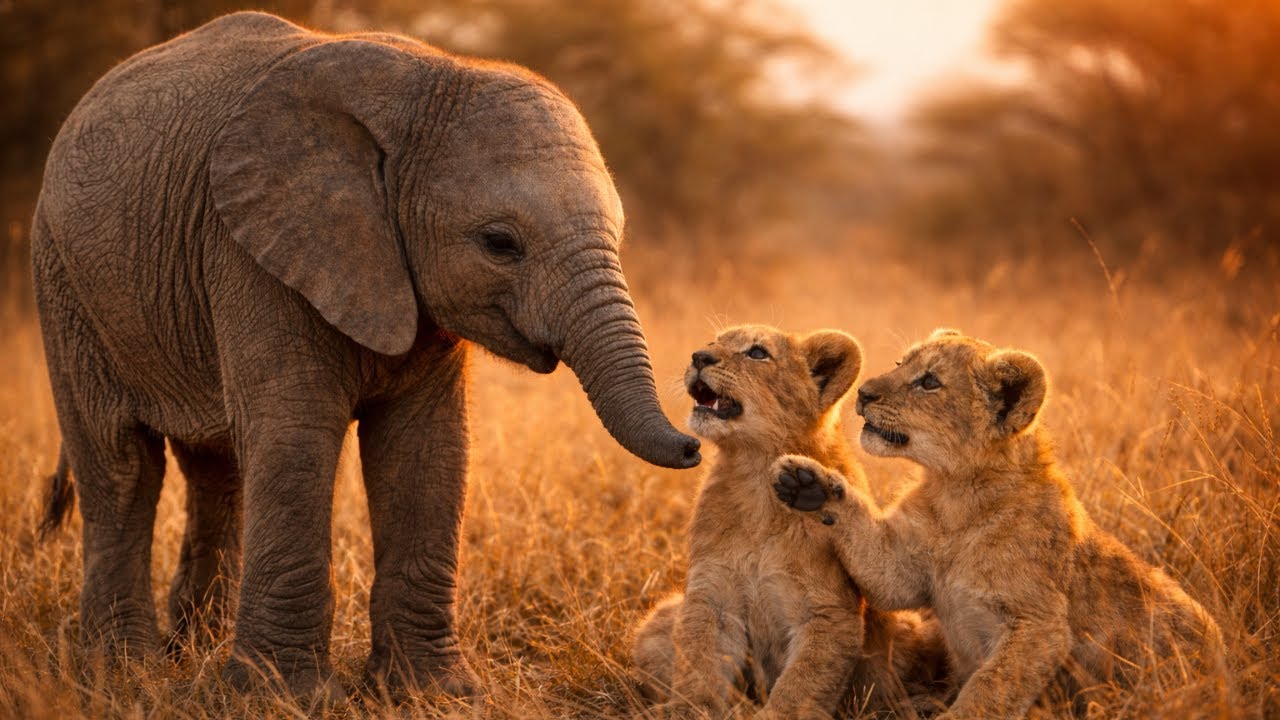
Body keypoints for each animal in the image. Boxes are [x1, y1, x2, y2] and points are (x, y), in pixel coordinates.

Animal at [31, 11, 700, 698]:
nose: (694, 442)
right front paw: (286, 696)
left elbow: (424, 446)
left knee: (218, 472)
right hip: (64, 282)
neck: (430, 80)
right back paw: (125, 670)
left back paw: (192, 652)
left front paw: (431, 693)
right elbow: (297, 435)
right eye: (500, 243)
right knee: (122, 466)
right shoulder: (251, 253)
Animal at [632, 324, 948, 720]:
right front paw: (690, 710)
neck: (755, 482)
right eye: (714, 342)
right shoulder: (712, 596)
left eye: (757, 353)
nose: (699, 357)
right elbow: (699, 662)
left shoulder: (828, 612)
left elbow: (802, 683)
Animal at [771, 329, 1229, 719]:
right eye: (901, 363)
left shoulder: (1039, 624)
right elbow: (878, 565)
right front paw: (806, 482)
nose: (864, 393)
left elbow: (991, 687)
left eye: (930, 382)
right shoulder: (902, 567)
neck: (956, 499)